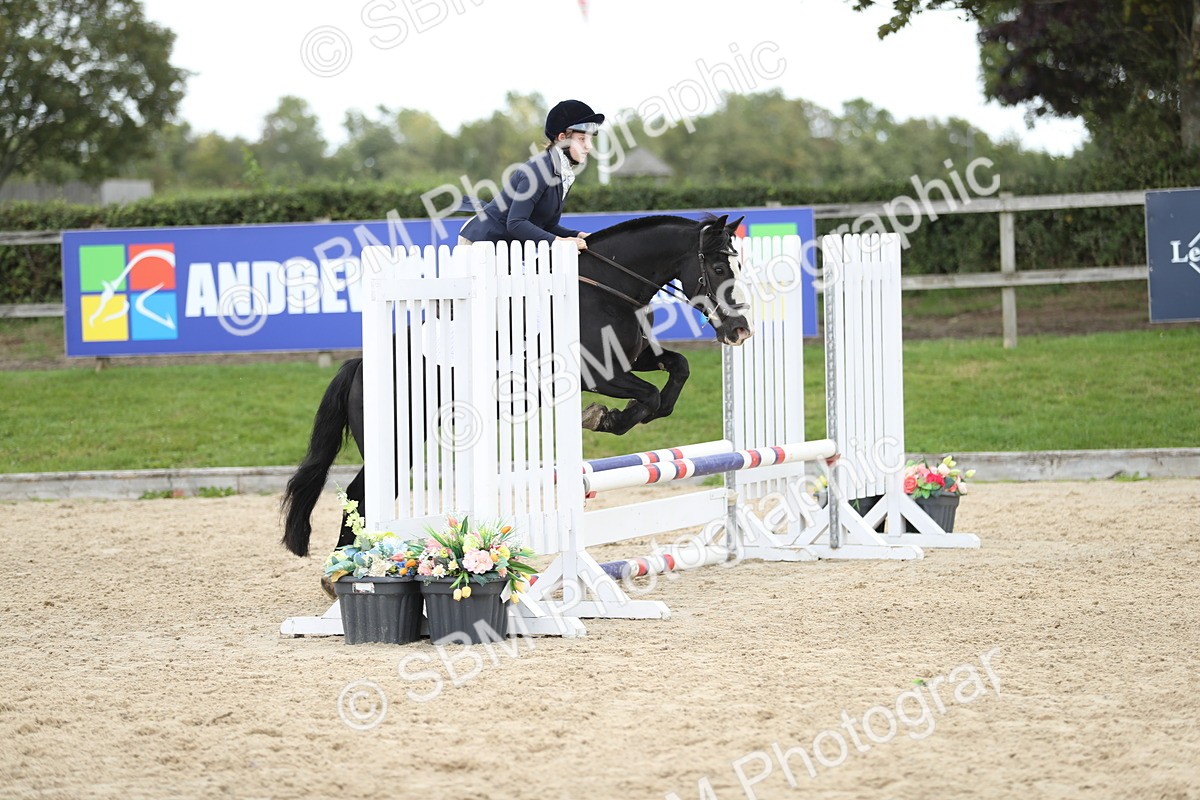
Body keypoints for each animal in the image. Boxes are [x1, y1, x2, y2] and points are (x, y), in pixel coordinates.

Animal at [280, 213, 753, 558]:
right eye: (717, 267)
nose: (740, 331)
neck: (609, 289)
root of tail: (361, 365)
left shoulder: (631, 359)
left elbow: (678, 371)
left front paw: (624, 415)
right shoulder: (598, 374)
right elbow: (649, 396)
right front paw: (601, 418)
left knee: (358, 494)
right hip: (398, 442)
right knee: (361, 495)